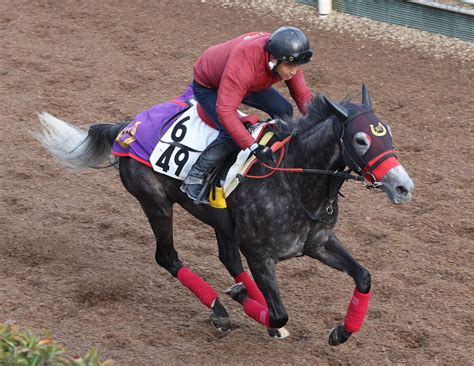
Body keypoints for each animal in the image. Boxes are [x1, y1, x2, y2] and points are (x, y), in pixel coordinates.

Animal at [36, 85, 414, 346]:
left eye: (389, 132)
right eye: (361, 139)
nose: (403, 186)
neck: (294, 178)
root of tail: (128, 127)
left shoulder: (318, 244)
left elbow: (363, 276)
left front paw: (340, 332)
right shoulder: (260, 254)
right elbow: (279, 313)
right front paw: (254, 309)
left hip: (221, 222)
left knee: (227, 257)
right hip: (155, 202)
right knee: (168, 257)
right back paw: (221, 309)